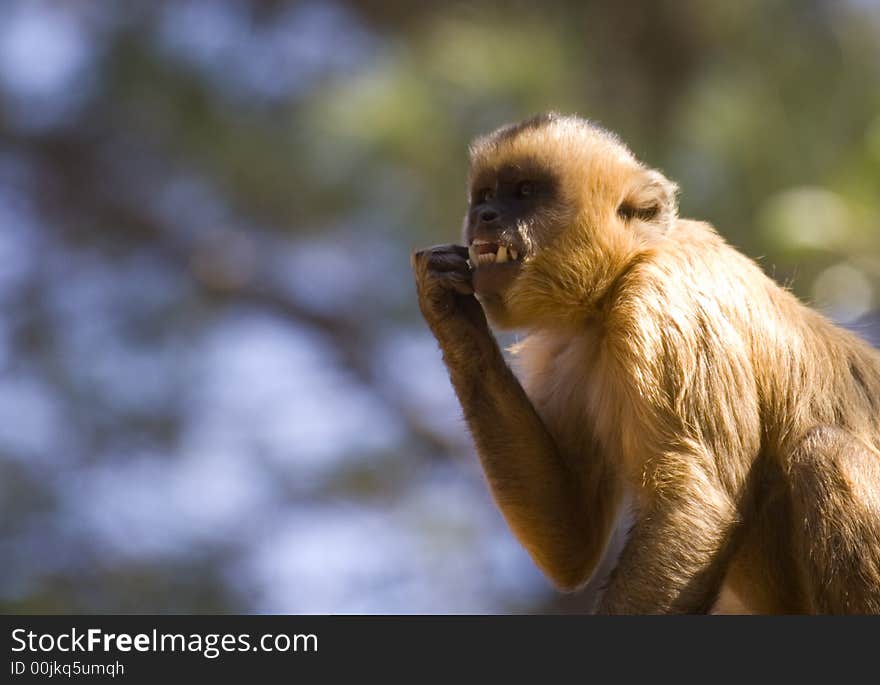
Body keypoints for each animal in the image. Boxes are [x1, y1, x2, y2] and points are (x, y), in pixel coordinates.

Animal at [410, 113, 880, 616]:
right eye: (484, 196)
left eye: (523, 191)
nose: (485, 215)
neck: (617, 281)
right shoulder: (565, 349)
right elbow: (573, 544)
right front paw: (452, 315)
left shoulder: (663, 301)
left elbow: (696, 503)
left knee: (826, 451)